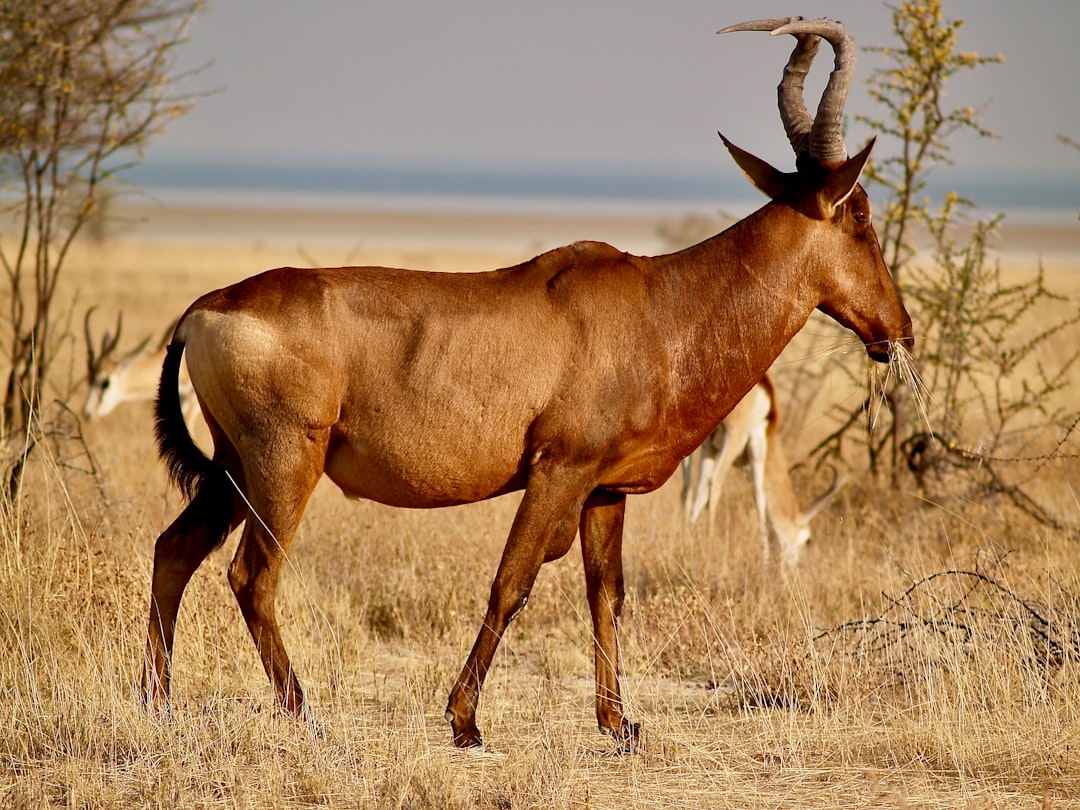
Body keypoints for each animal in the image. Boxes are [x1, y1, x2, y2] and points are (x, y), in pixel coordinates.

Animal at [682, 378, 842, 565]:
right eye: (807, 540)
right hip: (733, 437)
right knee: (715, 482)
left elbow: (700, 493)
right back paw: (710, 544)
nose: (794, 566)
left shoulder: (709, 447)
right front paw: (765, 559)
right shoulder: (757, 447)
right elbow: (759, 500)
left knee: (687, 488)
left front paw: (689, 539)